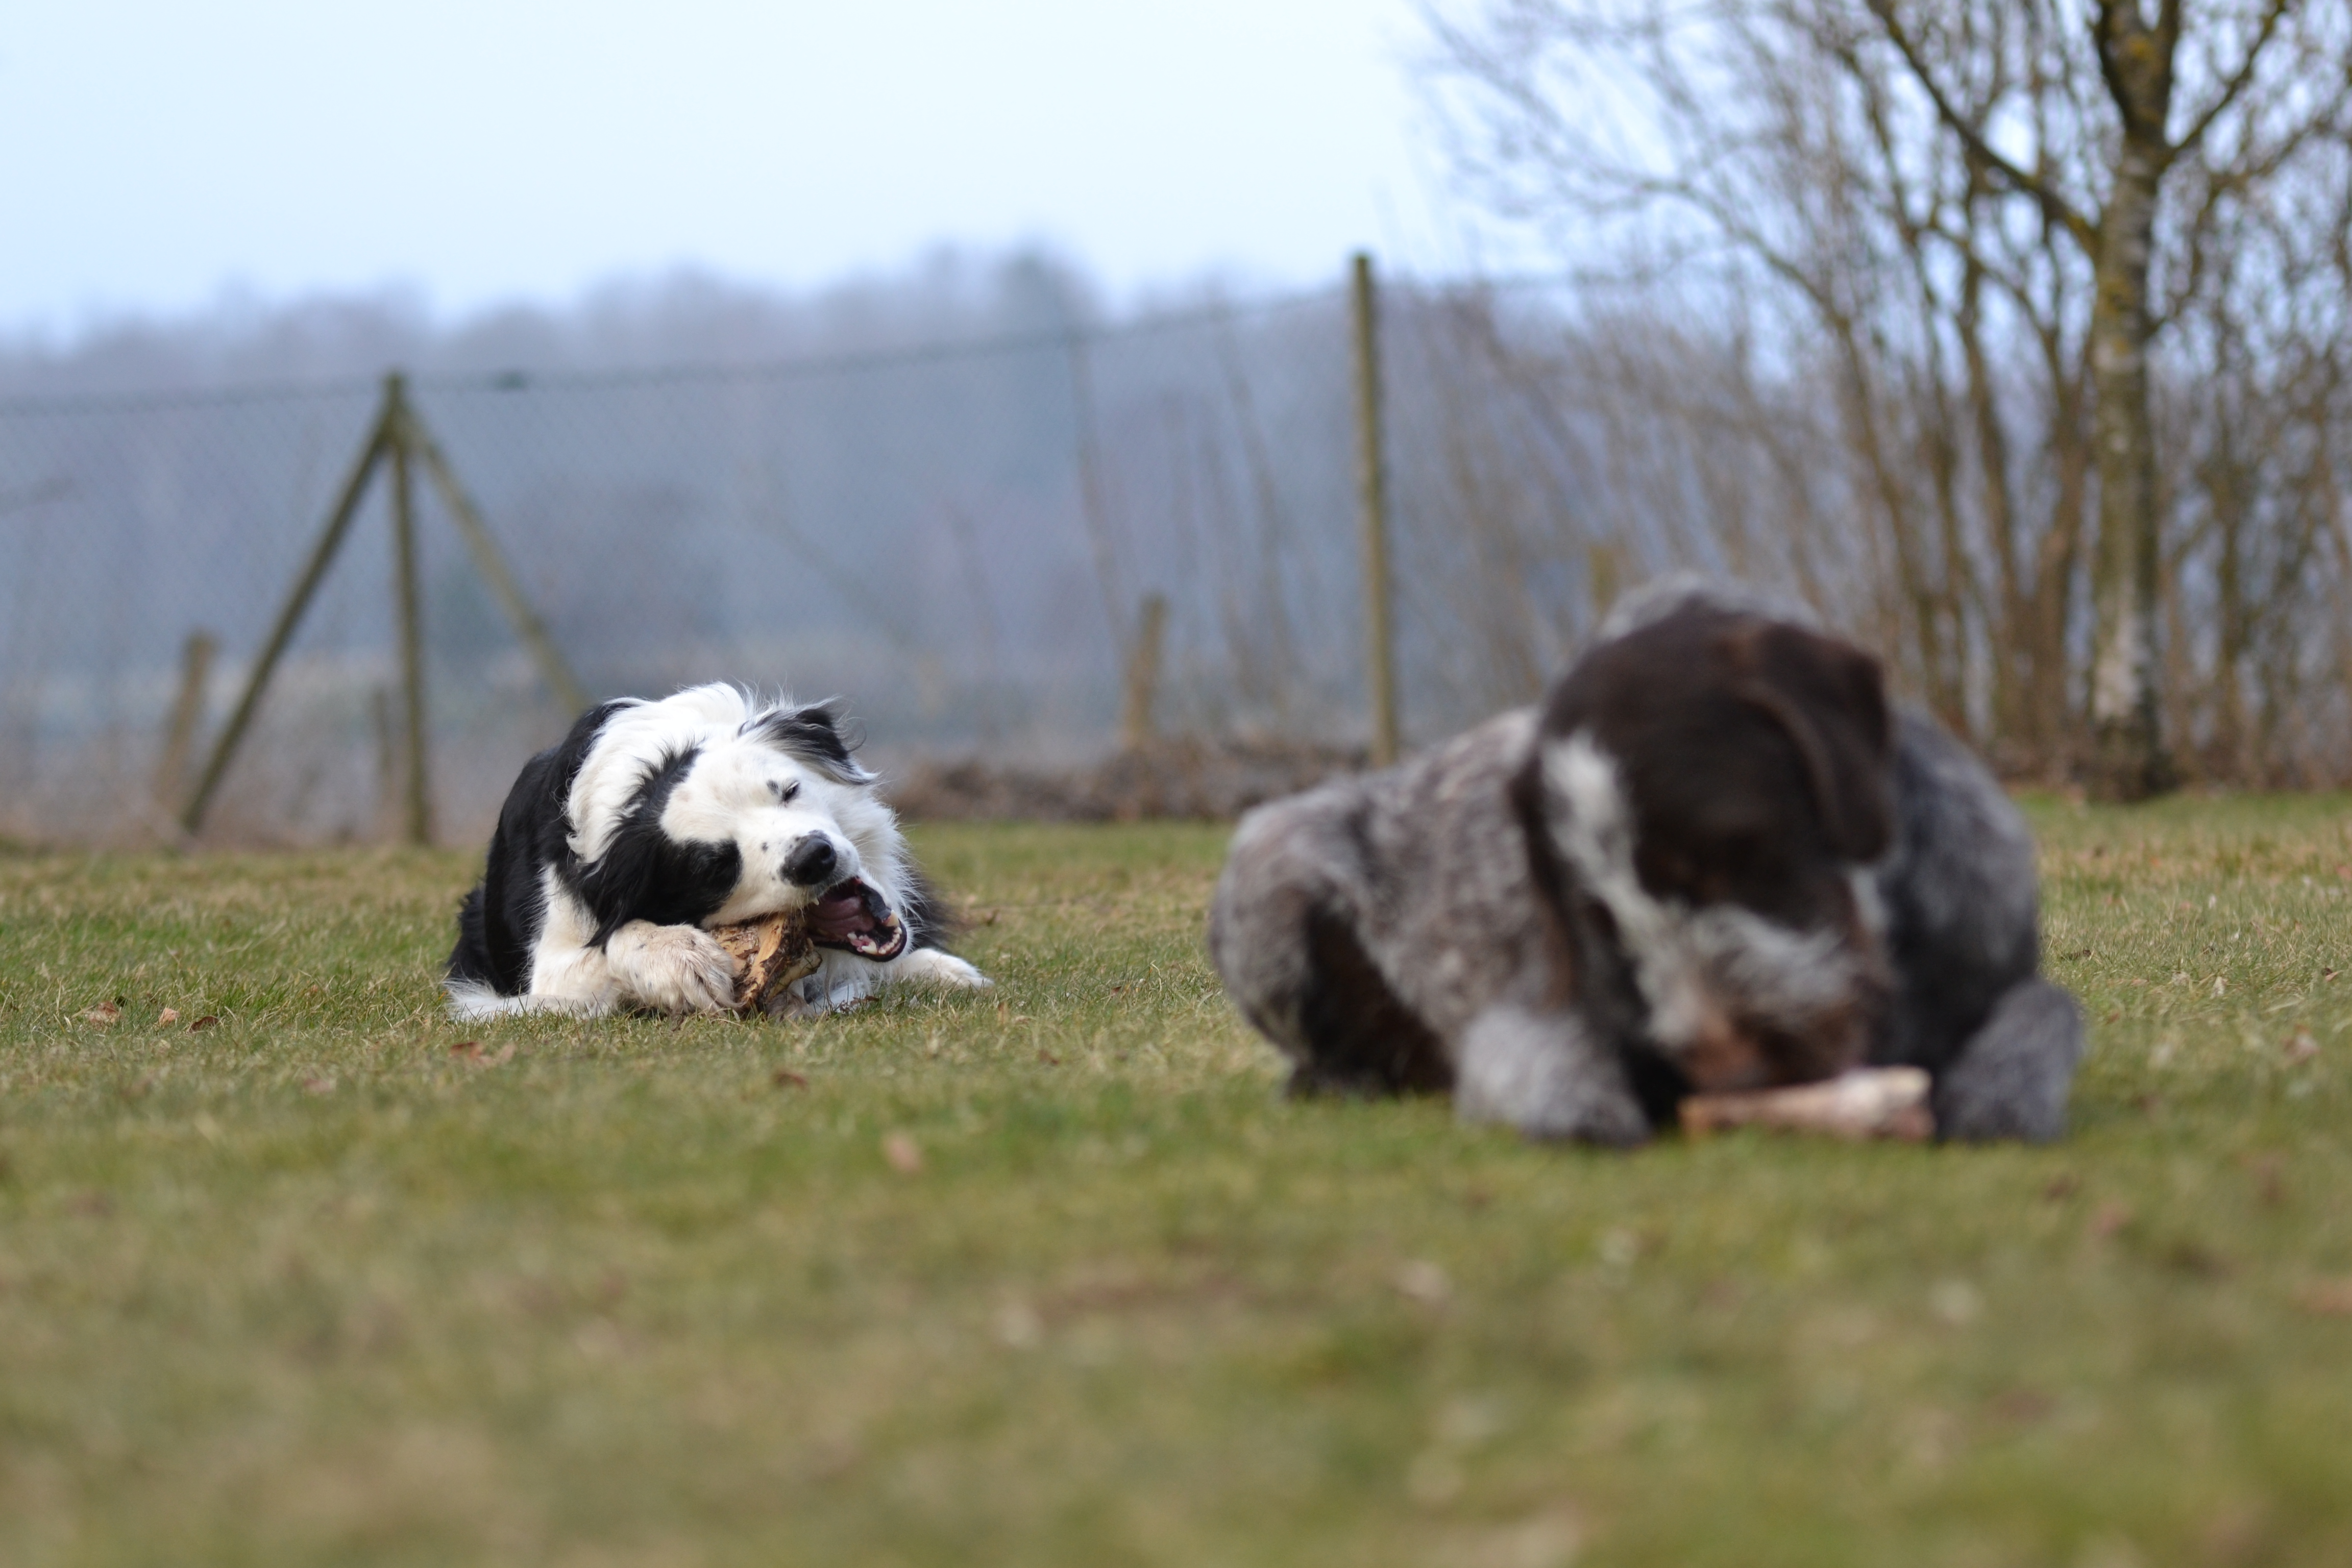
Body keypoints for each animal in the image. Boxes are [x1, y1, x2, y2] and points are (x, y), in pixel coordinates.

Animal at [444, 684, 987, 1020]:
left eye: (789, 790)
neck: (650, 776)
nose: (815, 857)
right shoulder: (547, 969)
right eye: (718, 867)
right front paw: (679, 960)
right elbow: (610, 944)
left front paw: (938, 970)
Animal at [1209, 580, 2080, 1143]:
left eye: (1733, 856)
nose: (1731, 1078)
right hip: (1267, 870)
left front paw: (1999, 1095)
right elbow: (1539, 1055)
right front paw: (1582, 1105)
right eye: (1596, 918)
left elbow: (2049, 1013)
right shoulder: (1530, 1013)